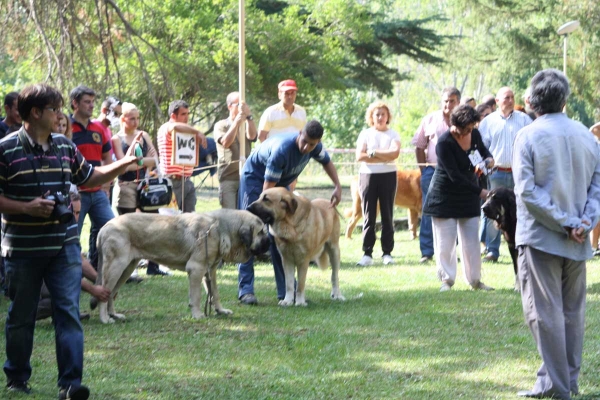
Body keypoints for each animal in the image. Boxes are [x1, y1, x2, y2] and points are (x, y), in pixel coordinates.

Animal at [96, 208, 270, 324]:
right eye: (261, 232)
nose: (270, 241)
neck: (221, 228)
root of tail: (104, 228)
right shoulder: (196, 269)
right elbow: (197, 296)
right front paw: (198, 314)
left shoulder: (210, 271)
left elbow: (214, 293)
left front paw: (220, 311)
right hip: (116, 267)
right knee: (104, 293)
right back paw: (104, 319)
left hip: (126, 269)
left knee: (111, 293)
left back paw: (114, 315)